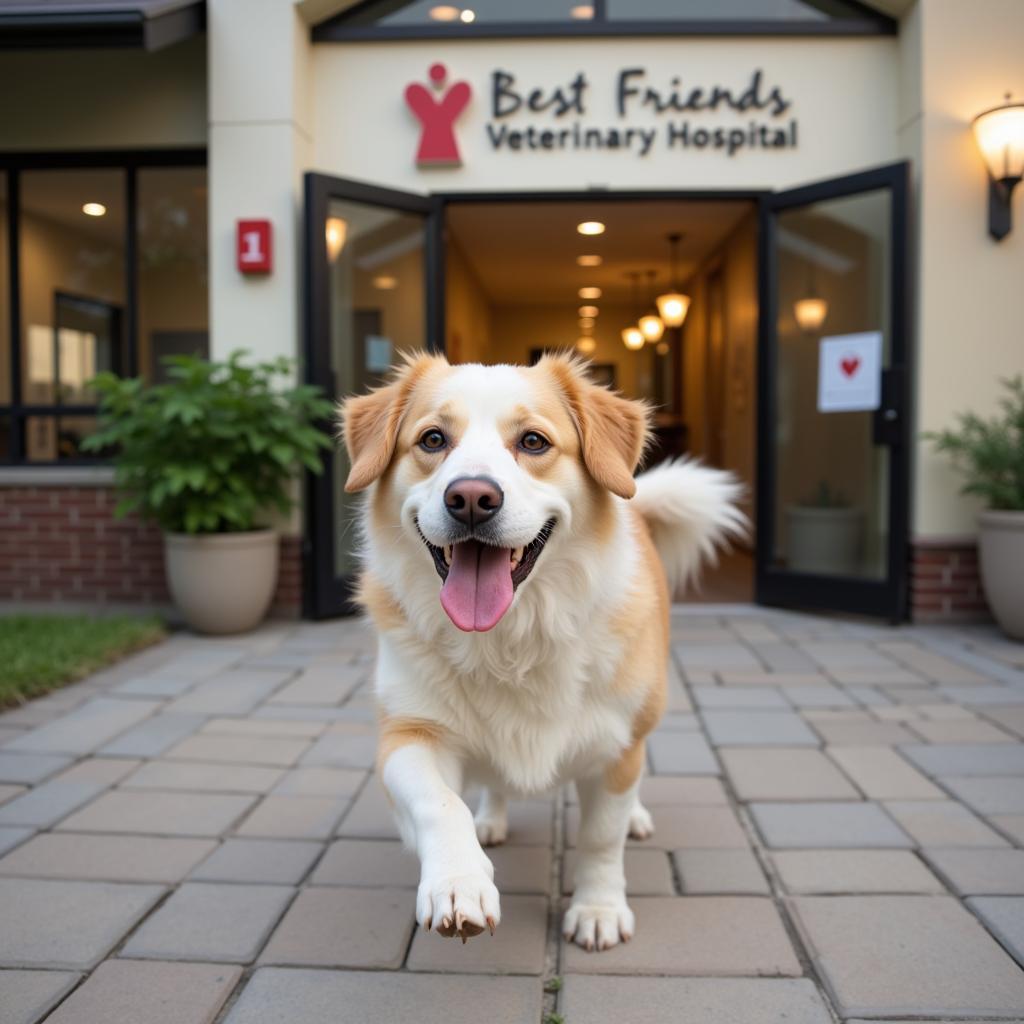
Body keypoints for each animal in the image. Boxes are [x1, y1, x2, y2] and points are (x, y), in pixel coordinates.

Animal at [337, 352, 745, 950]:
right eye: (433, 439)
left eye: (533, 441)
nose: (471, 498)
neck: (511, 638)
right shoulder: (410, 734)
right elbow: (440, 804)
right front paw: (458, 882)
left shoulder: (616, 745)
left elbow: (601, 837)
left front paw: (598, 908)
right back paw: (491, 819)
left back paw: (636, 817)